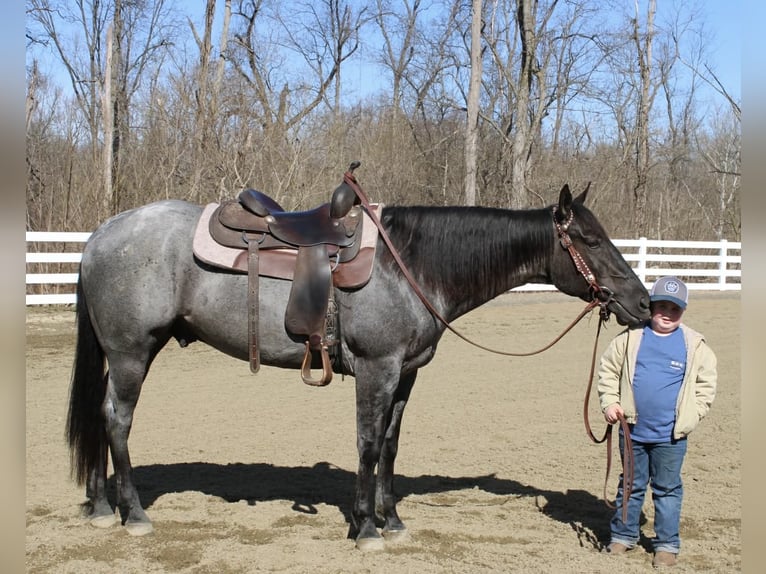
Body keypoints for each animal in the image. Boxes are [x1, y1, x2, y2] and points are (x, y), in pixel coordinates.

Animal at [66, 181, 650, 551]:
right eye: (591, 240)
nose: (643, 304)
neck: (410, 264)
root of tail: (101, 234)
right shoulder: (376, 369)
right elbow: (367, 443)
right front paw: (365, 528)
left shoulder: (406, 374)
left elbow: (389, 445)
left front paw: (392, 520)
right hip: (132, 351)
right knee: (118, 420)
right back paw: (134, 514)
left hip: (122, 353)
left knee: (98, 416)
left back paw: (99, 508)